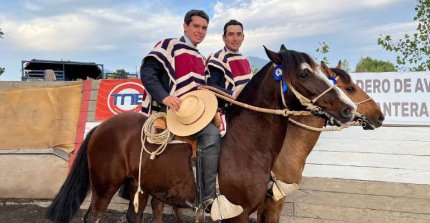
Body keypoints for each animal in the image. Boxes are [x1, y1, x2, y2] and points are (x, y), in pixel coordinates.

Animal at [45, 46, 358, 222]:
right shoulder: (237, 214)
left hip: (139, 186)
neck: (248, 144)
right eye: (304, 74)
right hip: (104, 187)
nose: (348, 109)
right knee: (93, 217)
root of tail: (101, 128)